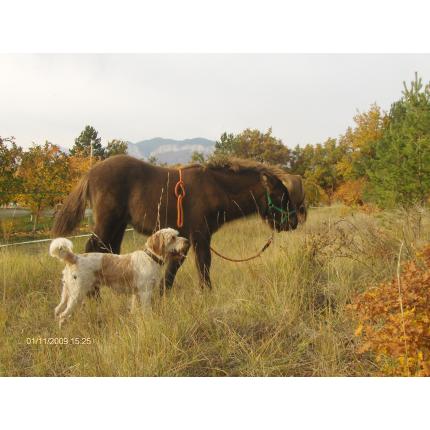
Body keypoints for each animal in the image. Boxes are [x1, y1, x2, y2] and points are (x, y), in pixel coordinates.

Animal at [49, 228, 189, 326]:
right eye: (173, 238)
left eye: (177, 234)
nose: (187, 241)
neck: (151, 257)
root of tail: (74, 258)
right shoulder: (145, 293)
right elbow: (147, 311)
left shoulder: (136, 294)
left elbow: (134, 310)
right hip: (76, 296)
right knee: (62, 316)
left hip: (66, 294)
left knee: (57, 310)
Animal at [51, 155, 298, 288]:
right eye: (279, 195)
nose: (293, 221)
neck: (215, 188)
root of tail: (91, 172)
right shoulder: (201, 235)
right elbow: (204, 265)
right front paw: (207, 294)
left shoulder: (186, 238)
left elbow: (173, 269)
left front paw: (162, 295)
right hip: (107, 222)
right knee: (91, 248)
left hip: (118, 225)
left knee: (108, 251)